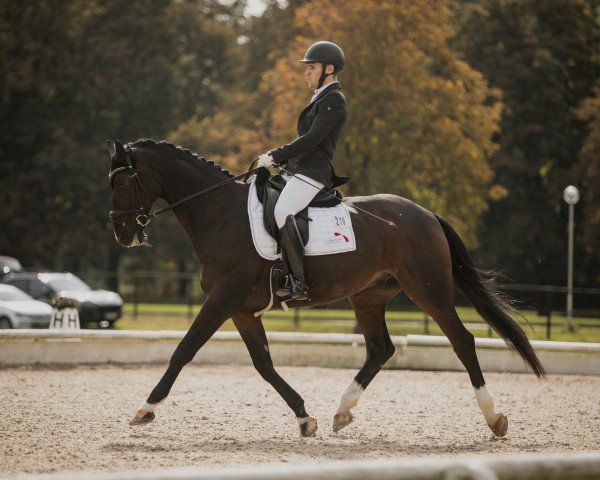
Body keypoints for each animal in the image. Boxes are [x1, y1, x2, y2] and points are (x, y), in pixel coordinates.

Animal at [106, 138, 544, 438]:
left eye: (122, 182)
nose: (122, 234)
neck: (222, 215)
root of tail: (426, 213)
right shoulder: (242, 309)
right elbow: (263, 364)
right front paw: (305, 417)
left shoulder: (223, 299)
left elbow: (184, 350)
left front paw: (145, 409)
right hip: (368, 296)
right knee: (380, 349)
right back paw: (342, 411)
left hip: (428, 292)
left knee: (463, 341)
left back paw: (494, 417)